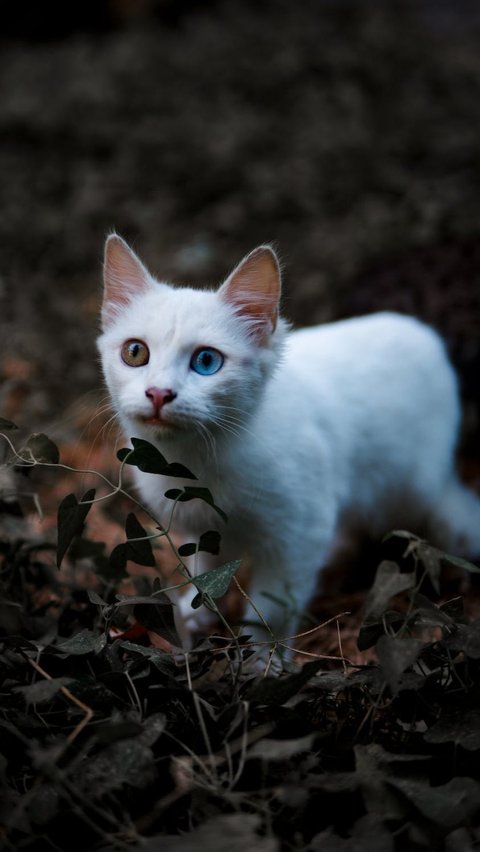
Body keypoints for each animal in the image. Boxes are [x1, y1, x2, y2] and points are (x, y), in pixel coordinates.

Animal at [97, 236, 480, 648]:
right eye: (135, 352)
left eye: (206, 361)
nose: (158, 393)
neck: (194, 461)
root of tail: (422, 332)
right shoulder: (205, 532)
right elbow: (206, 577)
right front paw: (192, 620)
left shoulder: (298, 533)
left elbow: (270, 614)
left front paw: (263, 660)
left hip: (411, 491)